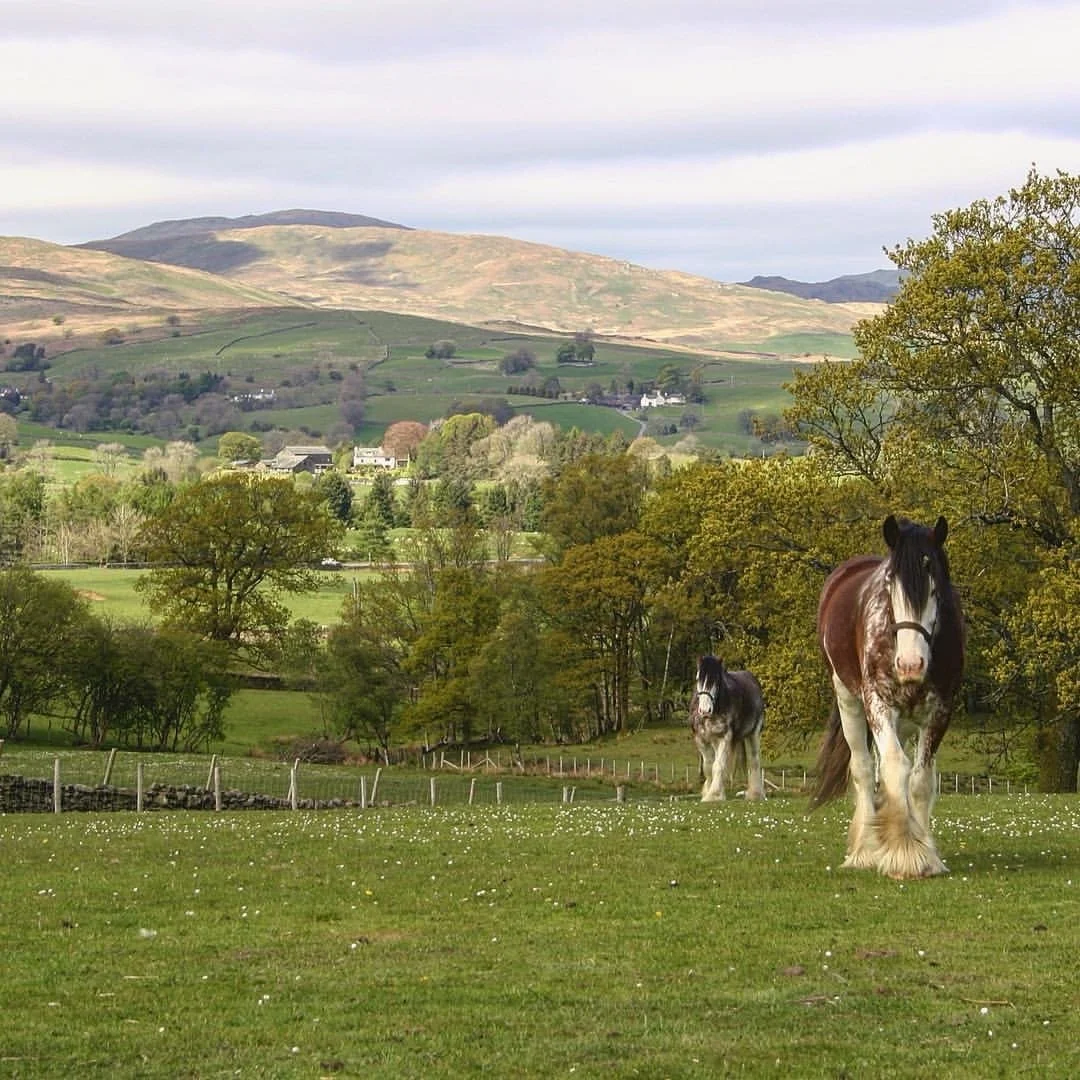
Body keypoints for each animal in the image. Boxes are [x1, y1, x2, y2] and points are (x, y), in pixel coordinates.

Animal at [690, 655, 766, 802]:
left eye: (717, 681)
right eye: (698, 678)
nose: (705, 710)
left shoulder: (725, 738)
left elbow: (718, 765)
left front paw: (714, 795)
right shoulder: (701, 739)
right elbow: (708, 766)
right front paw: (708, 792)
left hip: (753, 734)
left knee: (754, 761)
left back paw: (755, 794)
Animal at [810, 514, 965, 879]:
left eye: (935, 589)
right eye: (890, 589)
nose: (910, 664)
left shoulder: (940, 711)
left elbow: (920, 781)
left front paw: (926, 855)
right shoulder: (878, 704)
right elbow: (895, 767)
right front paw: (904, 853)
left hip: (906, 720)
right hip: (849, 700)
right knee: (865, 769)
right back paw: (866, 848)